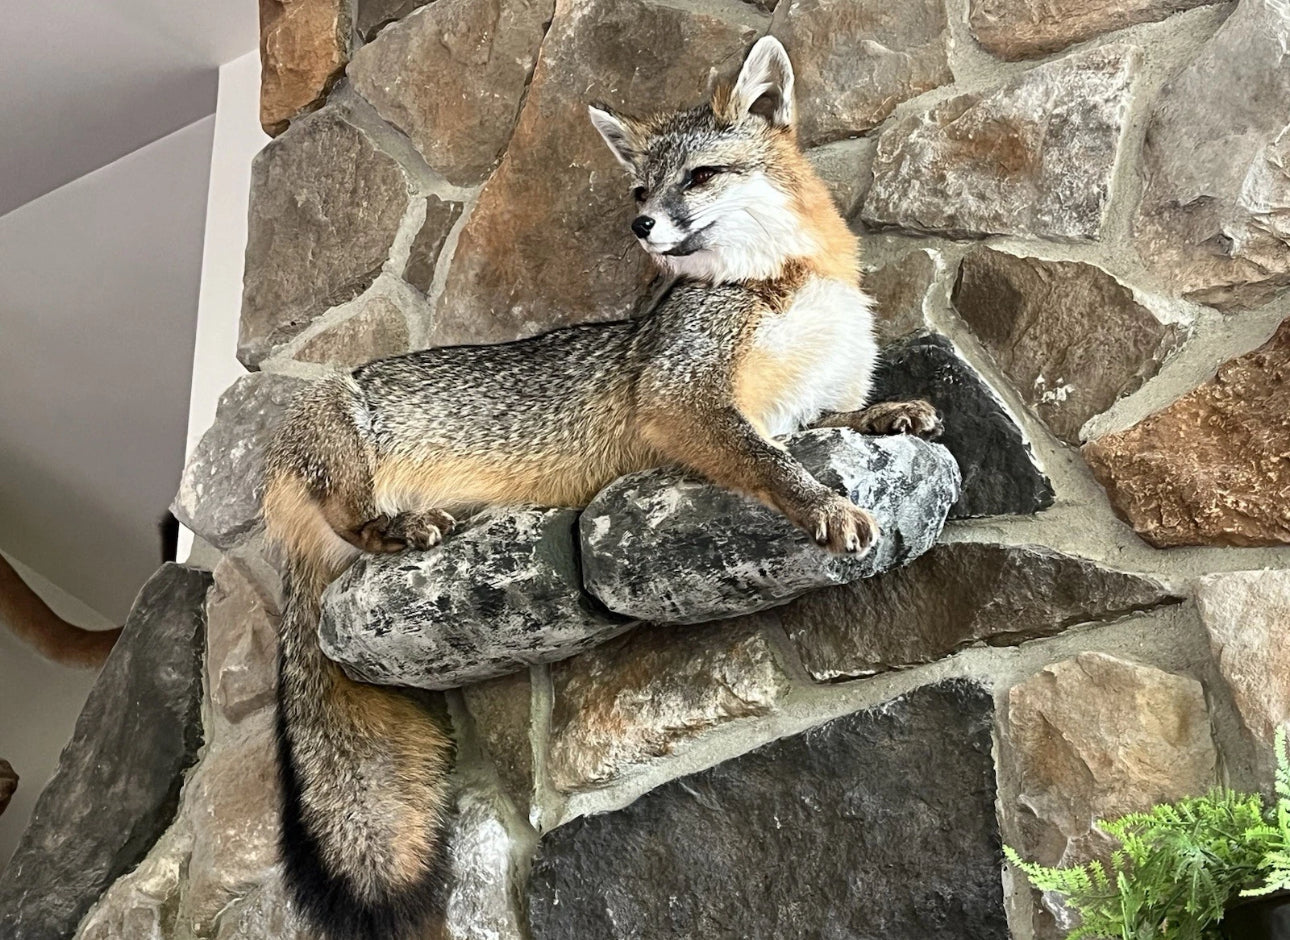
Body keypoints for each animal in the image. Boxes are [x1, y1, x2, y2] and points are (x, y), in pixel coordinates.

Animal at [263, 35, 940, 940]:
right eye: (640, 189)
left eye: (699, 176)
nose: (640, 226)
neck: (788, 281)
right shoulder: (680, 399)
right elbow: (769, 464)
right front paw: (824, 504)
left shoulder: (805, 404)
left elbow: (836, 416)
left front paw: (890, 410)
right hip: (334, 420)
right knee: (352, 517)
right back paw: (402, 528)